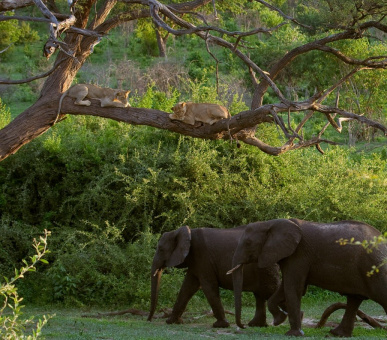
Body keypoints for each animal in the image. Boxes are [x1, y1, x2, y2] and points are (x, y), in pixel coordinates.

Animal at [147, 226, 286, 326]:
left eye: (161, 249)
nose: (149, 320)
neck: (184, 231)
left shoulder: (202, 257)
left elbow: (208, 286)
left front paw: (220, 325)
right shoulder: (196, 262)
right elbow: (187, 287)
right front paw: (172, 322)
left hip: (265, 267)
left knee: (269, 291)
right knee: (260, 295)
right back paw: (256, 325)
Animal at [227, 219, 387, 336]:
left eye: (248, 243)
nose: (243, 327)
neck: (271, 223)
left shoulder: (299, 255)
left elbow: (293, 288)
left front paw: (292, 334)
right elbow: (284, 288)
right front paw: (279, 320)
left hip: (375, 267)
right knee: (354, 300)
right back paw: (337, 334)